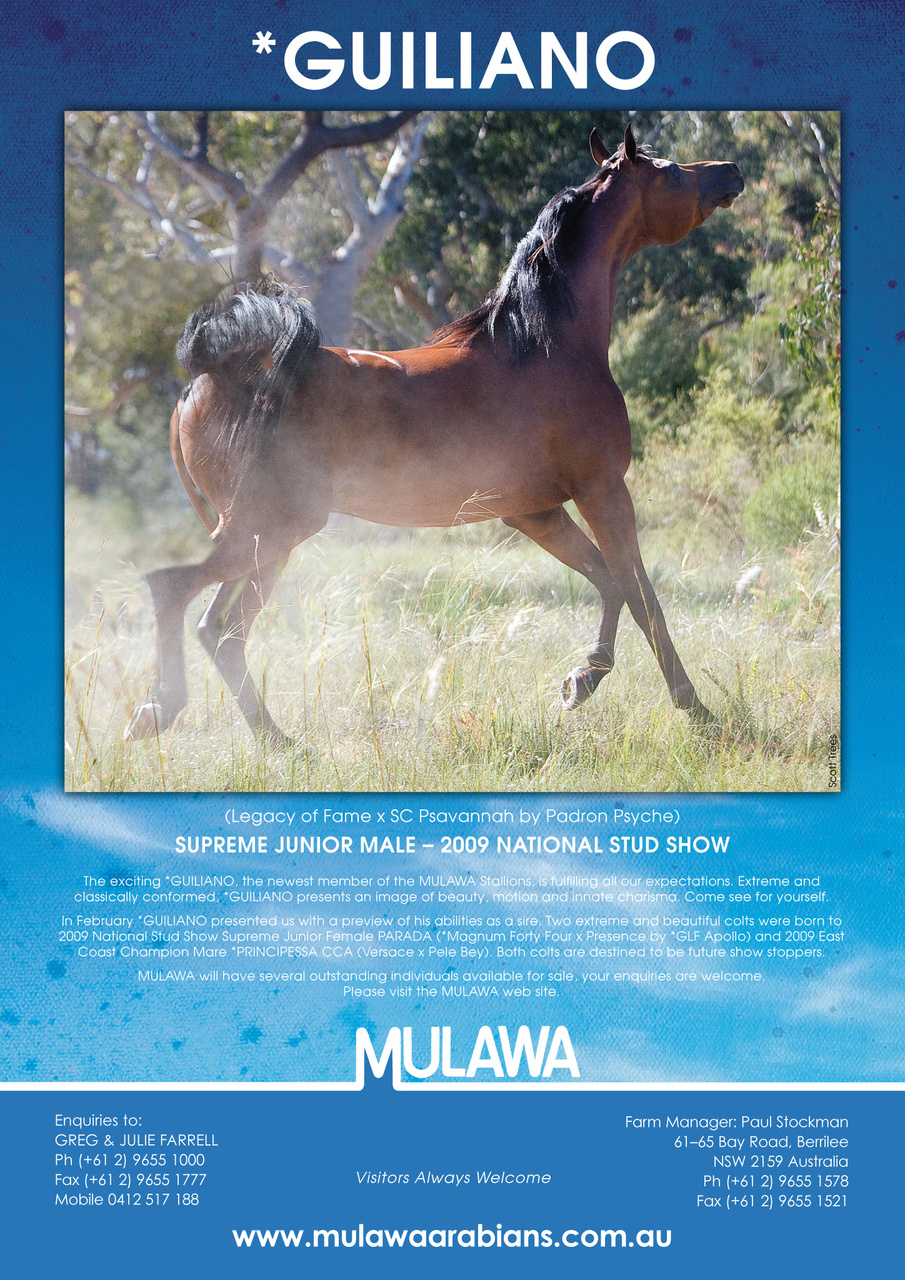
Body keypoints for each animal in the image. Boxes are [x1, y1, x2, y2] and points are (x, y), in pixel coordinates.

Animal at [125, 124, 744, 748]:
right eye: (669, 170)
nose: (732, 171)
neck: (544, 345)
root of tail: (209, 377)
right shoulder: (604, 491)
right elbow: (643, 598)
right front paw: (696, 709)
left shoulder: (536, 512)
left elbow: (609, 583)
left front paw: (581, 682)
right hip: (267, 530)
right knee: (174, 591)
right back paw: (165, 711)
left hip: (269, 541)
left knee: (221, 630)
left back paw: (272, 742)